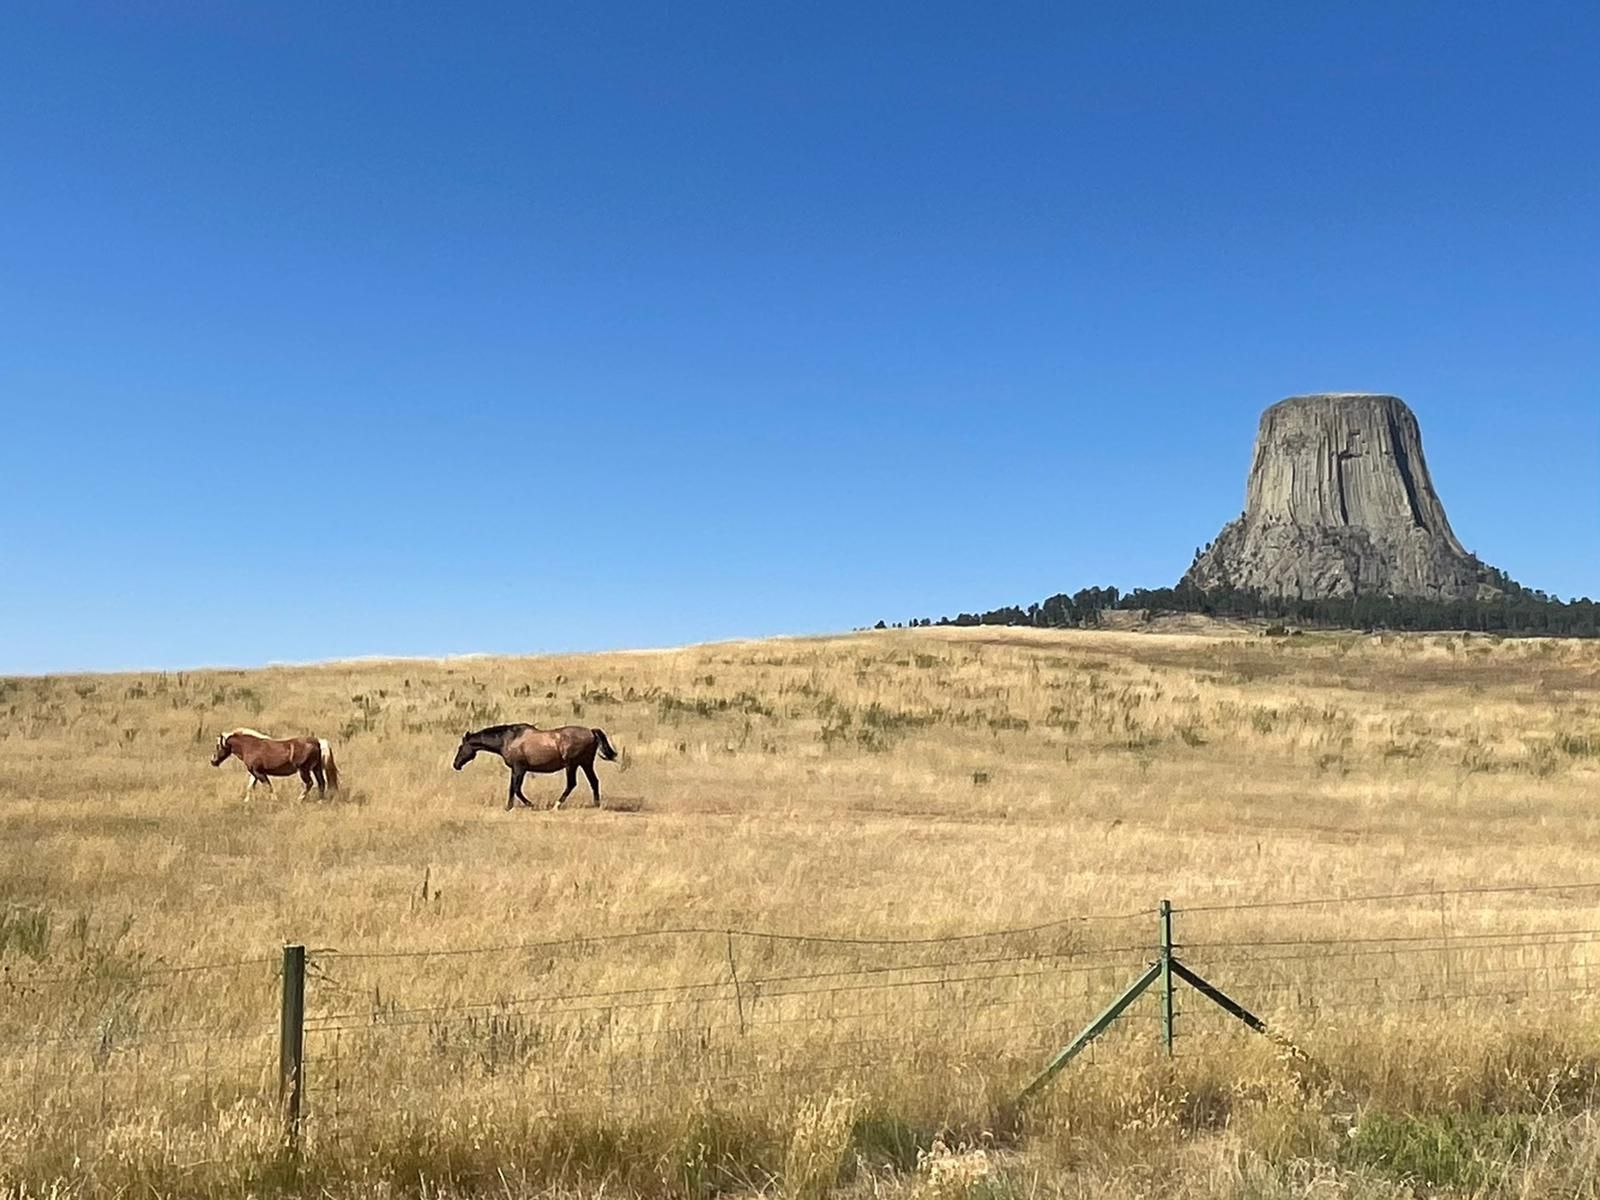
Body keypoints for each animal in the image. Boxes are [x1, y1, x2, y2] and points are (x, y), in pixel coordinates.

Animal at [209, 729, 340, 803]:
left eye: (218, 745)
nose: (213, 761)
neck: (249, 746)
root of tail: (317, 741)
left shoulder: (259, 773)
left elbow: (268, 786)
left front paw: (274, 800)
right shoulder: (254, 773)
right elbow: (250, 787)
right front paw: (246, 801)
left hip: (304, 770)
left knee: (310, 783)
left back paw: (300, 799)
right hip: (316, 768)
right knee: (321, 783)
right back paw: (320, 801)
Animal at [457, 723, 624, 819]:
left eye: (460, 747)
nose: (456, 764)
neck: (508, 740)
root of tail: (591, 731)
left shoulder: (519, 769)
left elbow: (516, 789)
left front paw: (527, 805)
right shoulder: (518, 770)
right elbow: (513, 788)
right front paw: (512, 806)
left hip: (572, 765)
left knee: (571, 784)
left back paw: (556, 806)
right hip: (586, 764)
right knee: (594, 781)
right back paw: (596, 804)